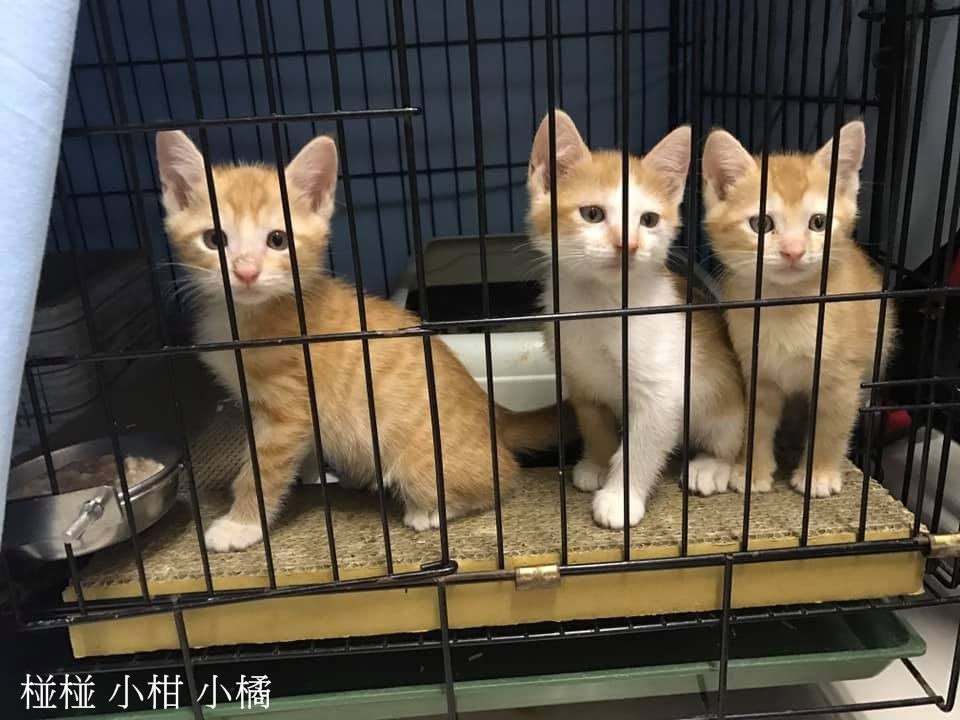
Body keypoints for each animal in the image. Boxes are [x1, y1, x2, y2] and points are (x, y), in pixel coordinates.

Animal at [156, 130, 567, 551]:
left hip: (422, 460)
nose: (246, 272)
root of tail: (494, 413)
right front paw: (307, 477)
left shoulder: (288, 410)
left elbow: (260, 470)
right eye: (213, 239)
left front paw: (241, 525)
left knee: (499, 477)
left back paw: (431, 509)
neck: (249, 315)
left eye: (278, 239)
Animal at [526, 111, 746, 530]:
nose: (626, 244)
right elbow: (594, 424)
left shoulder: (662, 391)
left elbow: (642, 446)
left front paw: (620, 499)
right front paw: (597, 463)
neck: (601, 304)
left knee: (735, 438)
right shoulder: (581, 379)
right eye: (592, 214)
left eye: (649, 219)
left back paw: (713, 467)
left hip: (722, 401)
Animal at [701, 120, 897, 497]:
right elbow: (757, 422)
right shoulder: (757, 369)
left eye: (818, 222)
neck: (788, 306)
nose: (793, 251)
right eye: (761, 224)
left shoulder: (841, 378)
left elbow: (831, 426)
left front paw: (819, 474)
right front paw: (752, 471)